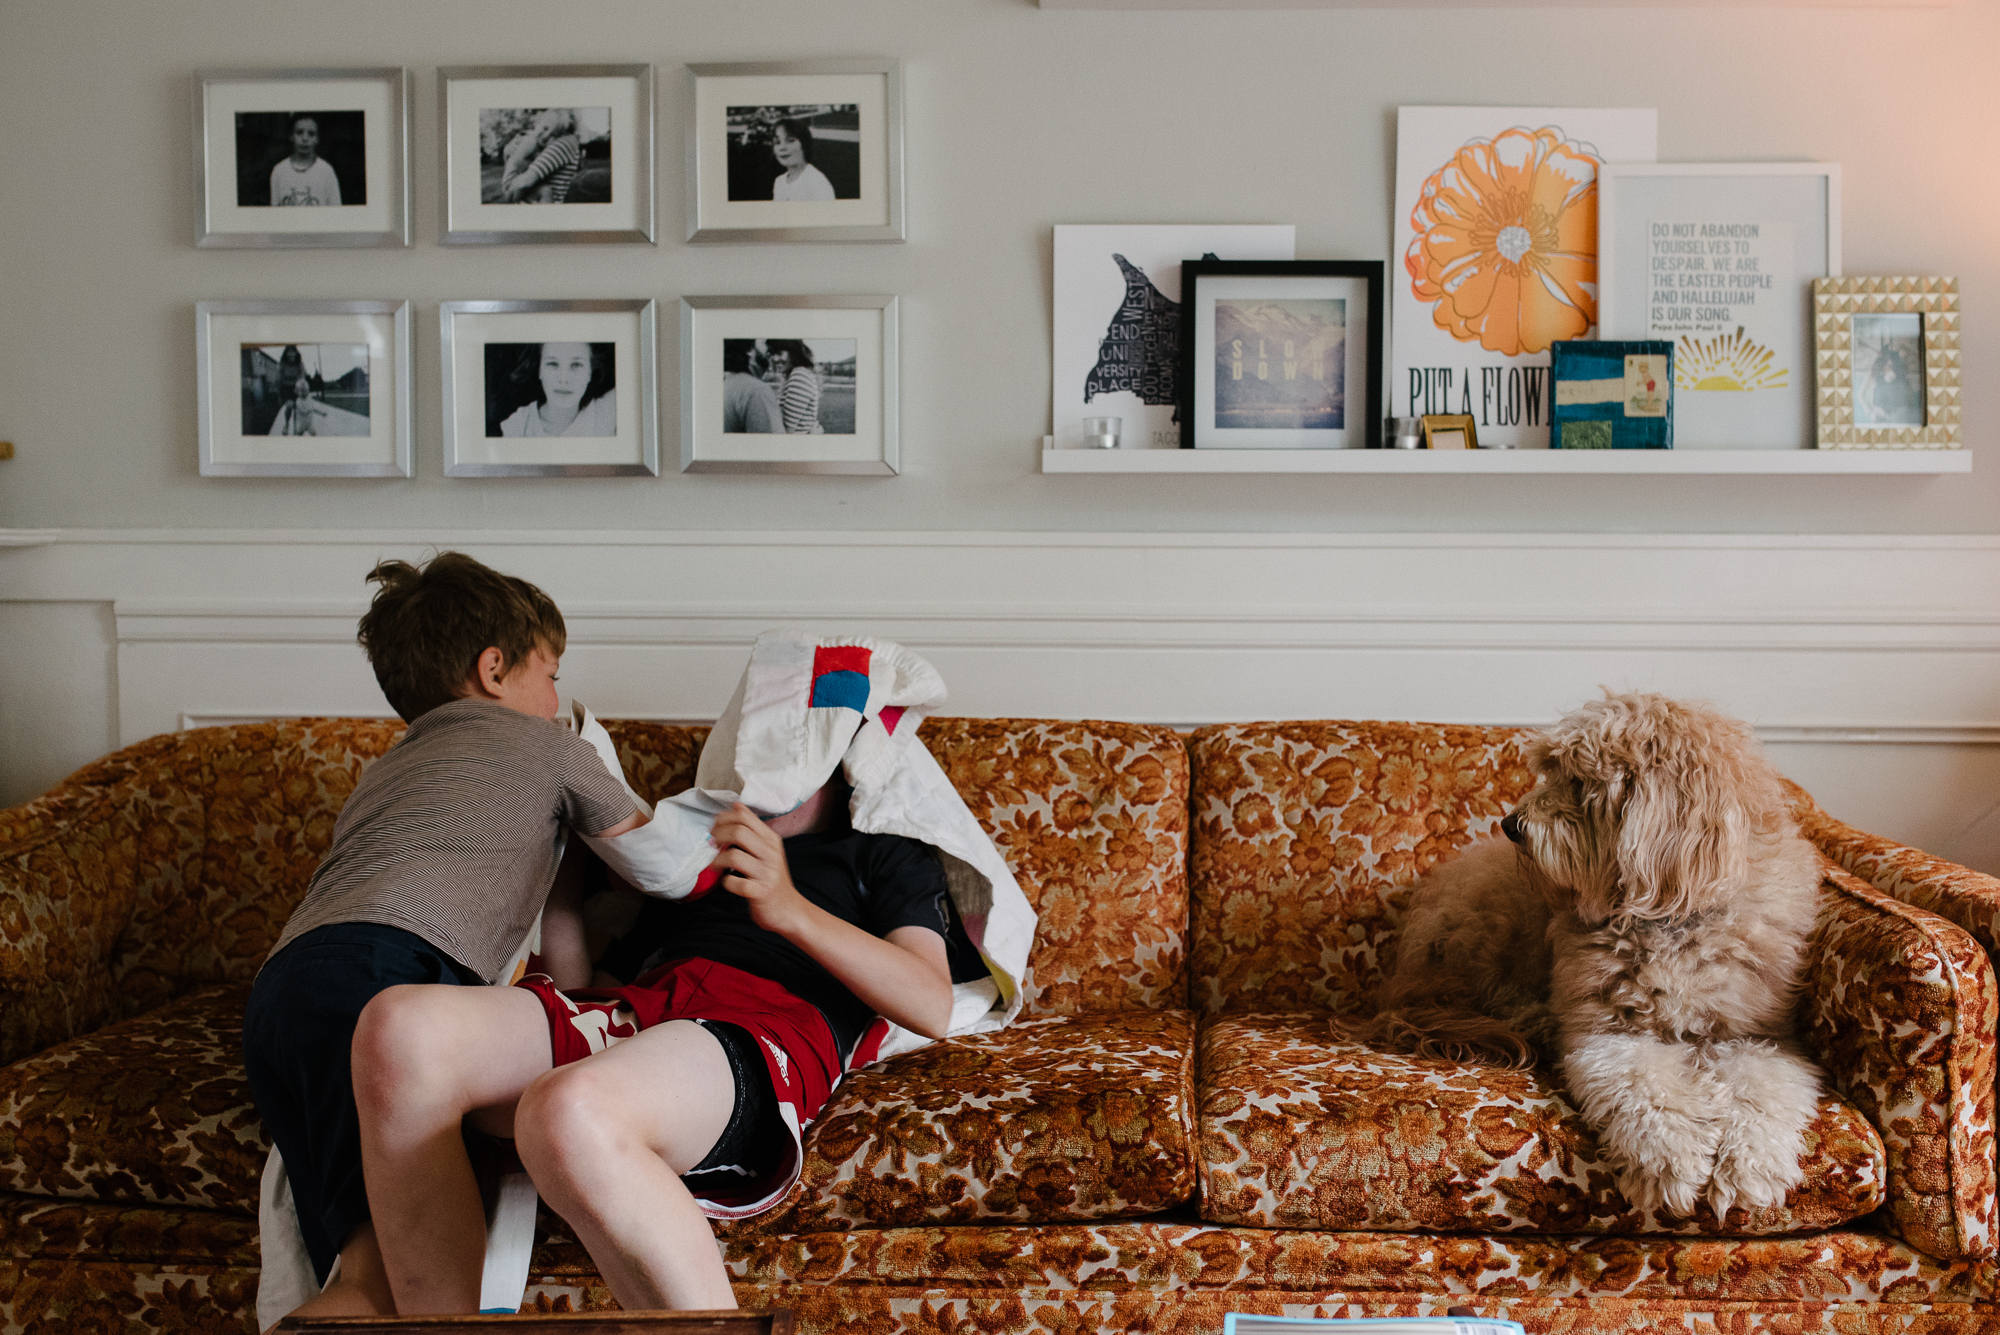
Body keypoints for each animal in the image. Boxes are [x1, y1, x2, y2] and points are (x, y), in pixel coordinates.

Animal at [1376, 695, 1832, 1215]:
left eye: (1578, 782)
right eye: (1551, 772)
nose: (1510, 826)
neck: (1671, 918)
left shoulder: (1761, 1039)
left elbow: (1762, 1096)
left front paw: (1747, 1167)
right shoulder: (1609, 1035)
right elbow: (1644, 1091)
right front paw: (1670, 1161)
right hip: (1489, 930)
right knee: (1483, 998)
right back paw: (1536, 1018)